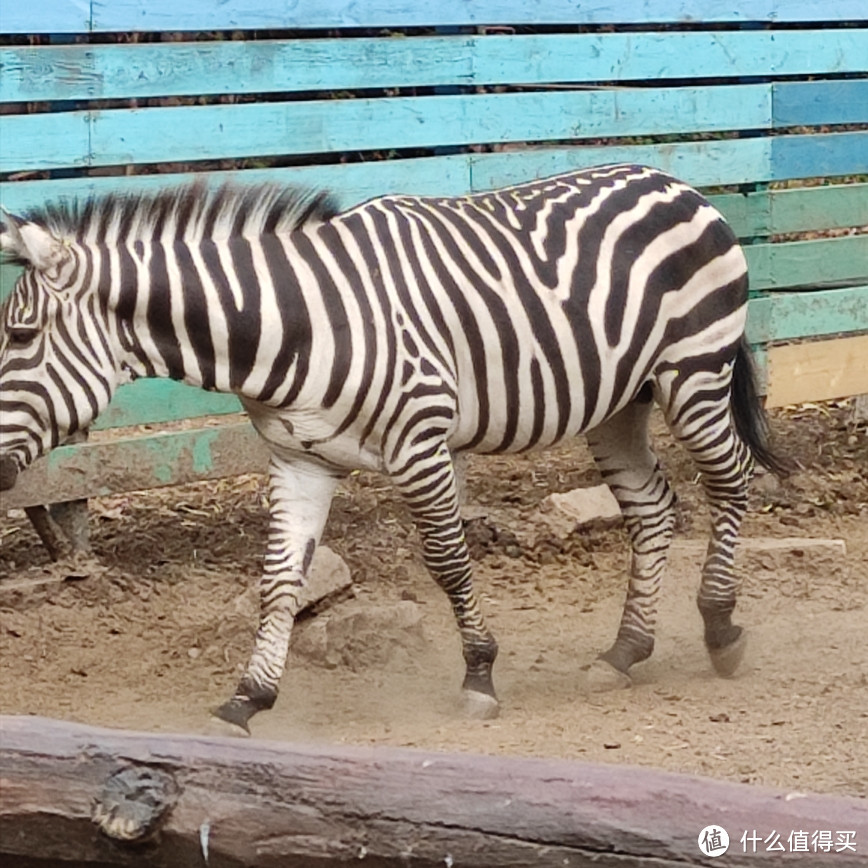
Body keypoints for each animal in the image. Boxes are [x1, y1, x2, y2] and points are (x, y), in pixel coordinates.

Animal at [0, 163, 788, 732]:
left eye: (18, 336)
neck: (298, 324)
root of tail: (674, 181)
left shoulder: (421, 442)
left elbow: (447, 562)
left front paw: (479, 676)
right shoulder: (299, 460)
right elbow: (279, 580)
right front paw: (248, 698)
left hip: (693, 371)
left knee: (732, 480)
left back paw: (721, 628)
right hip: (619, 403)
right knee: (652, 507)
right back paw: (625, 652)